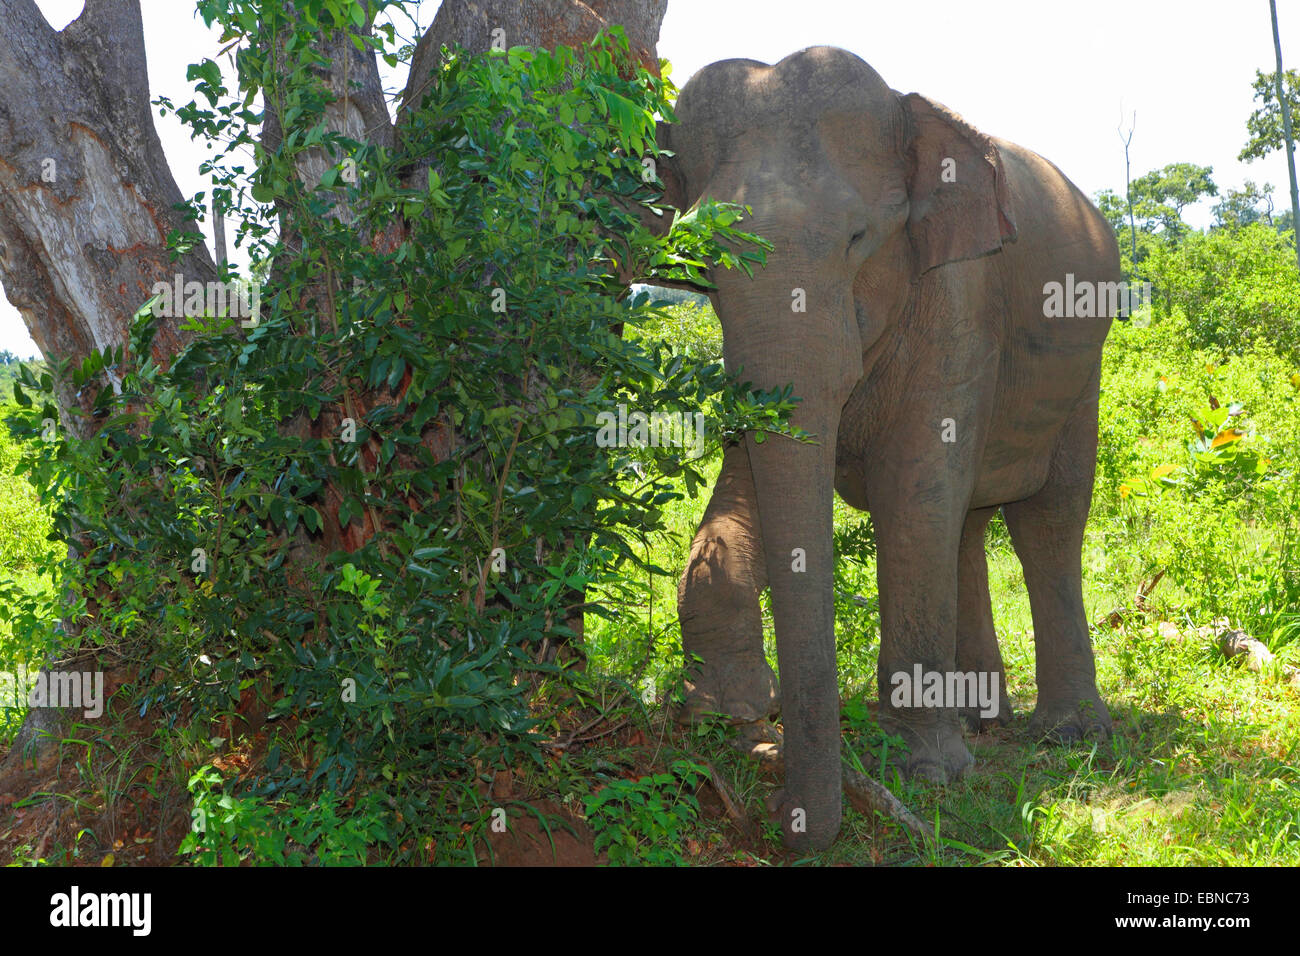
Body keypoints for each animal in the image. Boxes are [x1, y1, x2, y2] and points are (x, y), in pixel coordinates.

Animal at [655, 48, 1123, 848]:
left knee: (1046, 519)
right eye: (702, 263)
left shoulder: (960, 294)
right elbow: (757, 478)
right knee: (967, 522)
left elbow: (913, 493)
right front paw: (725, 711)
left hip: (1082, 364)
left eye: (857, 239)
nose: (780, 816)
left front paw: (927, 775)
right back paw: (982, 717)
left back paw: (1070, 734)